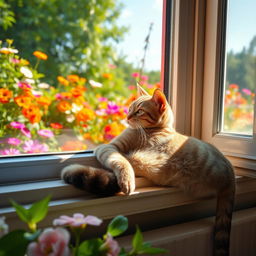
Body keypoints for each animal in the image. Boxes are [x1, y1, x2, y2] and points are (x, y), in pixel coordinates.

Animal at [61, 86, 236, 256]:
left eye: (139, 111)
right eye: (129, 108)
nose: (127, 117)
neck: (156, 130)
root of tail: (230, 175)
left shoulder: (107, 148)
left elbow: (121, 161)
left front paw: (127, 181)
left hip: (146, 162)